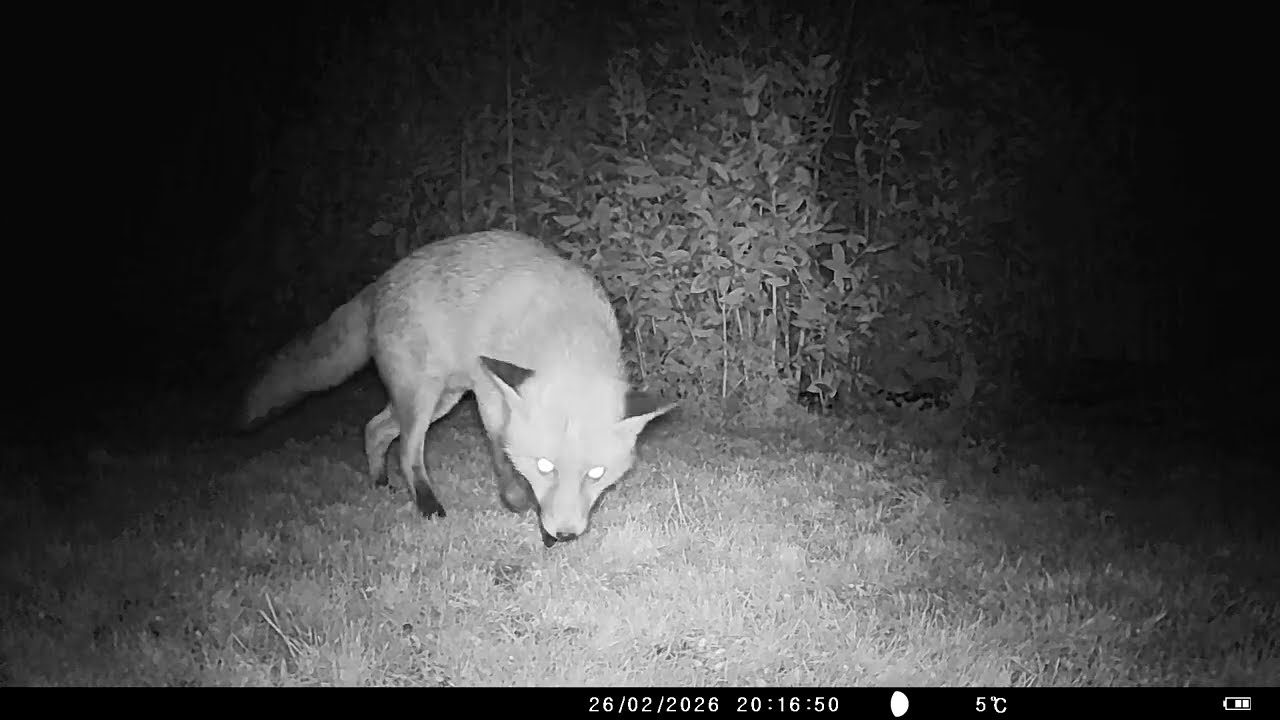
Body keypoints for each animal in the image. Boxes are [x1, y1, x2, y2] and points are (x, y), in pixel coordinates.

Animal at [238, 229, 673, 547]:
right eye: (544, 466)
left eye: (597, 474)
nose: (565, 534)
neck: (563, 334)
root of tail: (380, 282)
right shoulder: (488, 390)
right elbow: (501, 450)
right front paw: (518, 501)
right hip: (424, 397)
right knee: (408, 453)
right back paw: (427, 504)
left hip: (440, 400)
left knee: (374, 428)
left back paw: (379, 480)